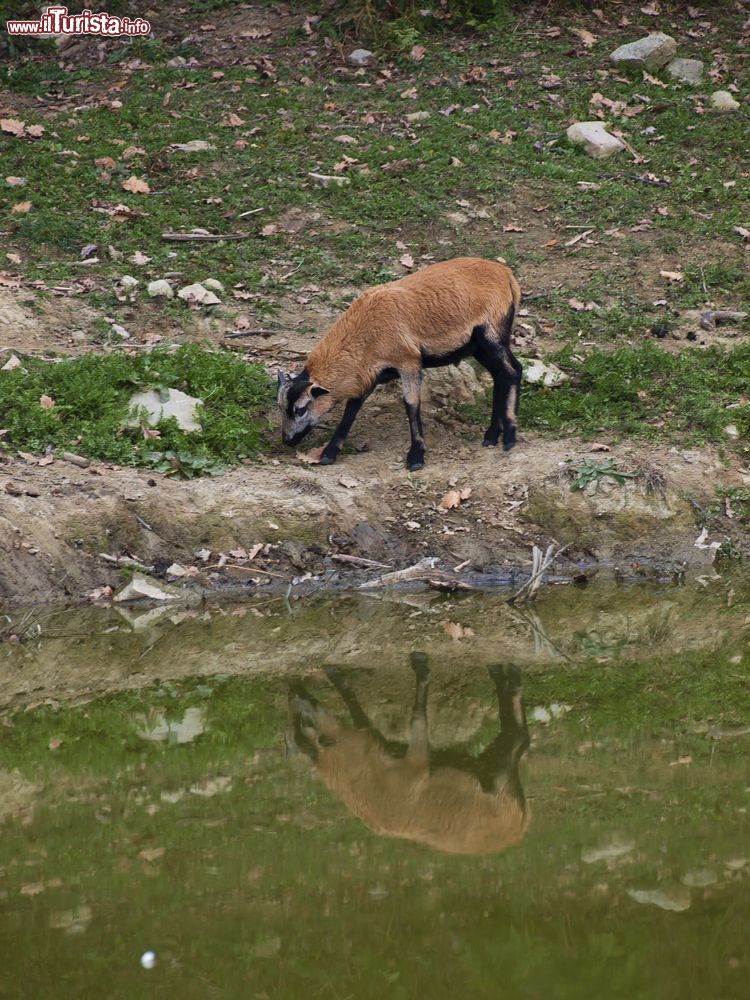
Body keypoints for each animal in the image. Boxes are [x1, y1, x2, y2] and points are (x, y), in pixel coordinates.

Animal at [276, 260, 524, 474]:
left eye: (300, 409)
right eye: (280, 407)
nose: (287, 440)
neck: (365, 332)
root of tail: (506, 274)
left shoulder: (408, 361)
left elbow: (411, 405)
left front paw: (416, 457)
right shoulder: (370, 374)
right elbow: (352, 409)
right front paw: (329, 453)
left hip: (492, 333)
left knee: (512, 372)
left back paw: (509, 436)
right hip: (478, 346)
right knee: (501, 375)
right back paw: (492, 435)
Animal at [284, 652, 532, 856]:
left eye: (305, 722)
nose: (292, 692)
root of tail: (519, 827)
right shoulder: (413, 763)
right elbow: (413, 718)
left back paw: (506, 674)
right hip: (496, 774)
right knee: (517, 739)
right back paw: (507, 676)